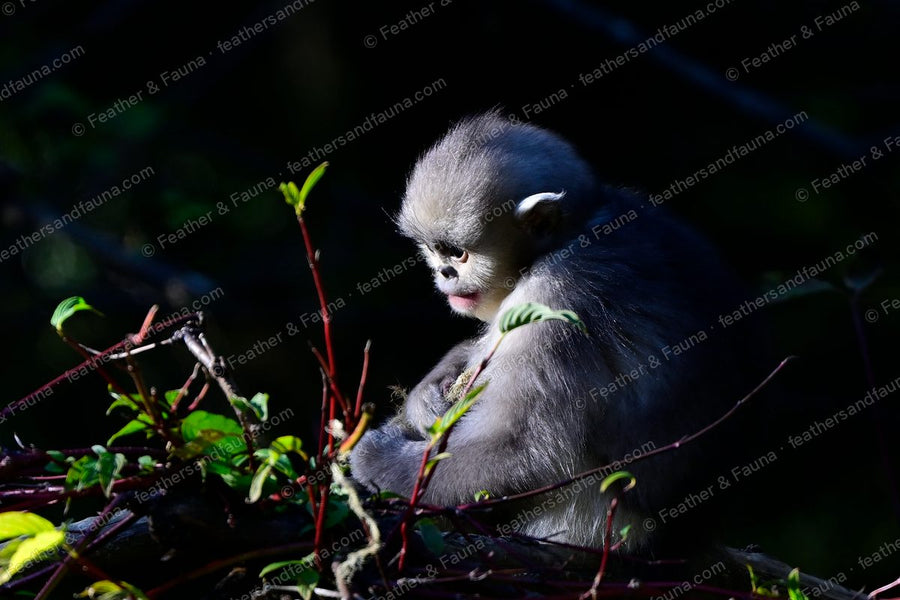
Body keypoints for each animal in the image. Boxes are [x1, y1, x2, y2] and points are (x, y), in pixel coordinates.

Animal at [349, 111, 766, 549]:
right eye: (434, 250)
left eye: (458, 253)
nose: (445, 273)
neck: (573, 233)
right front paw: (426, 394)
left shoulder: (555, 297)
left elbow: (520, 450)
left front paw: (375, 461)